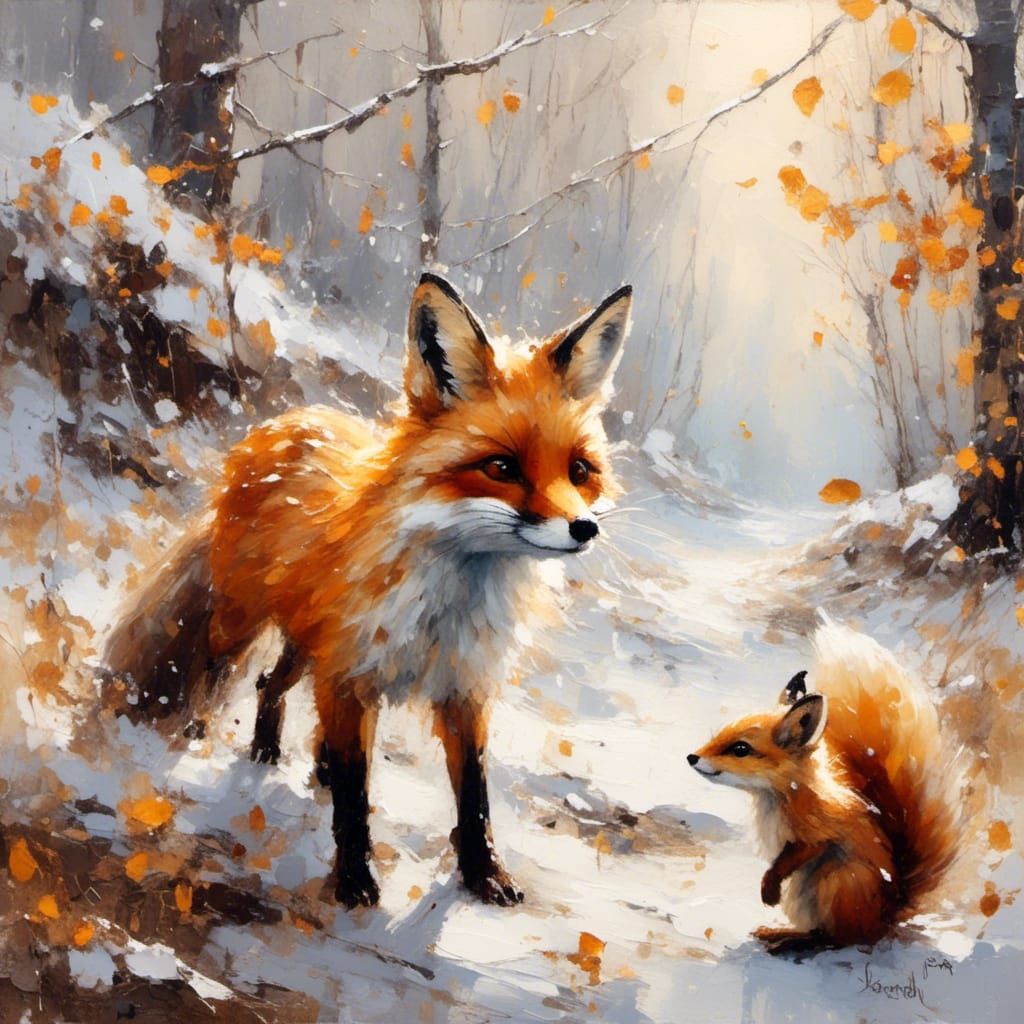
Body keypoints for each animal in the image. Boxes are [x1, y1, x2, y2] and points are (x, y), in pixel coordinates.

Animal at [103, 272, 633, 909]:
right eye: (501, 467)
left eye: (579, 471)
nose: (585, 528)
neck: (446, 605)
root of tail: (287, 420)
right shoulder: (352, 677)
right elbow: (356, 800)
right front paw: (355, 881)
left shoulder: (463, 688)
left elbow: (474, 795)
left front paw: (483, 875)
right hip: (248, 624)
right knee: (218, 667)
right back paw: (203, 733)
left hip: (308, 646)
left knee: (269, 683)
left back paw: (278, 751)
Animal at [688, 622, 962, 953]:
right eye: (720, 735)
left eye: (740, 749)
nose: (692, 757)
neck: (778, 797)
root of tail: (888, 916)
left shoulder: (817, 832)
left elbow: (791, 857)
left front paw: (768, 889)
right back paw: (779, 933)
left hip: (831, 882)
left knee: (836, 939)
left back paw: (790, 941)